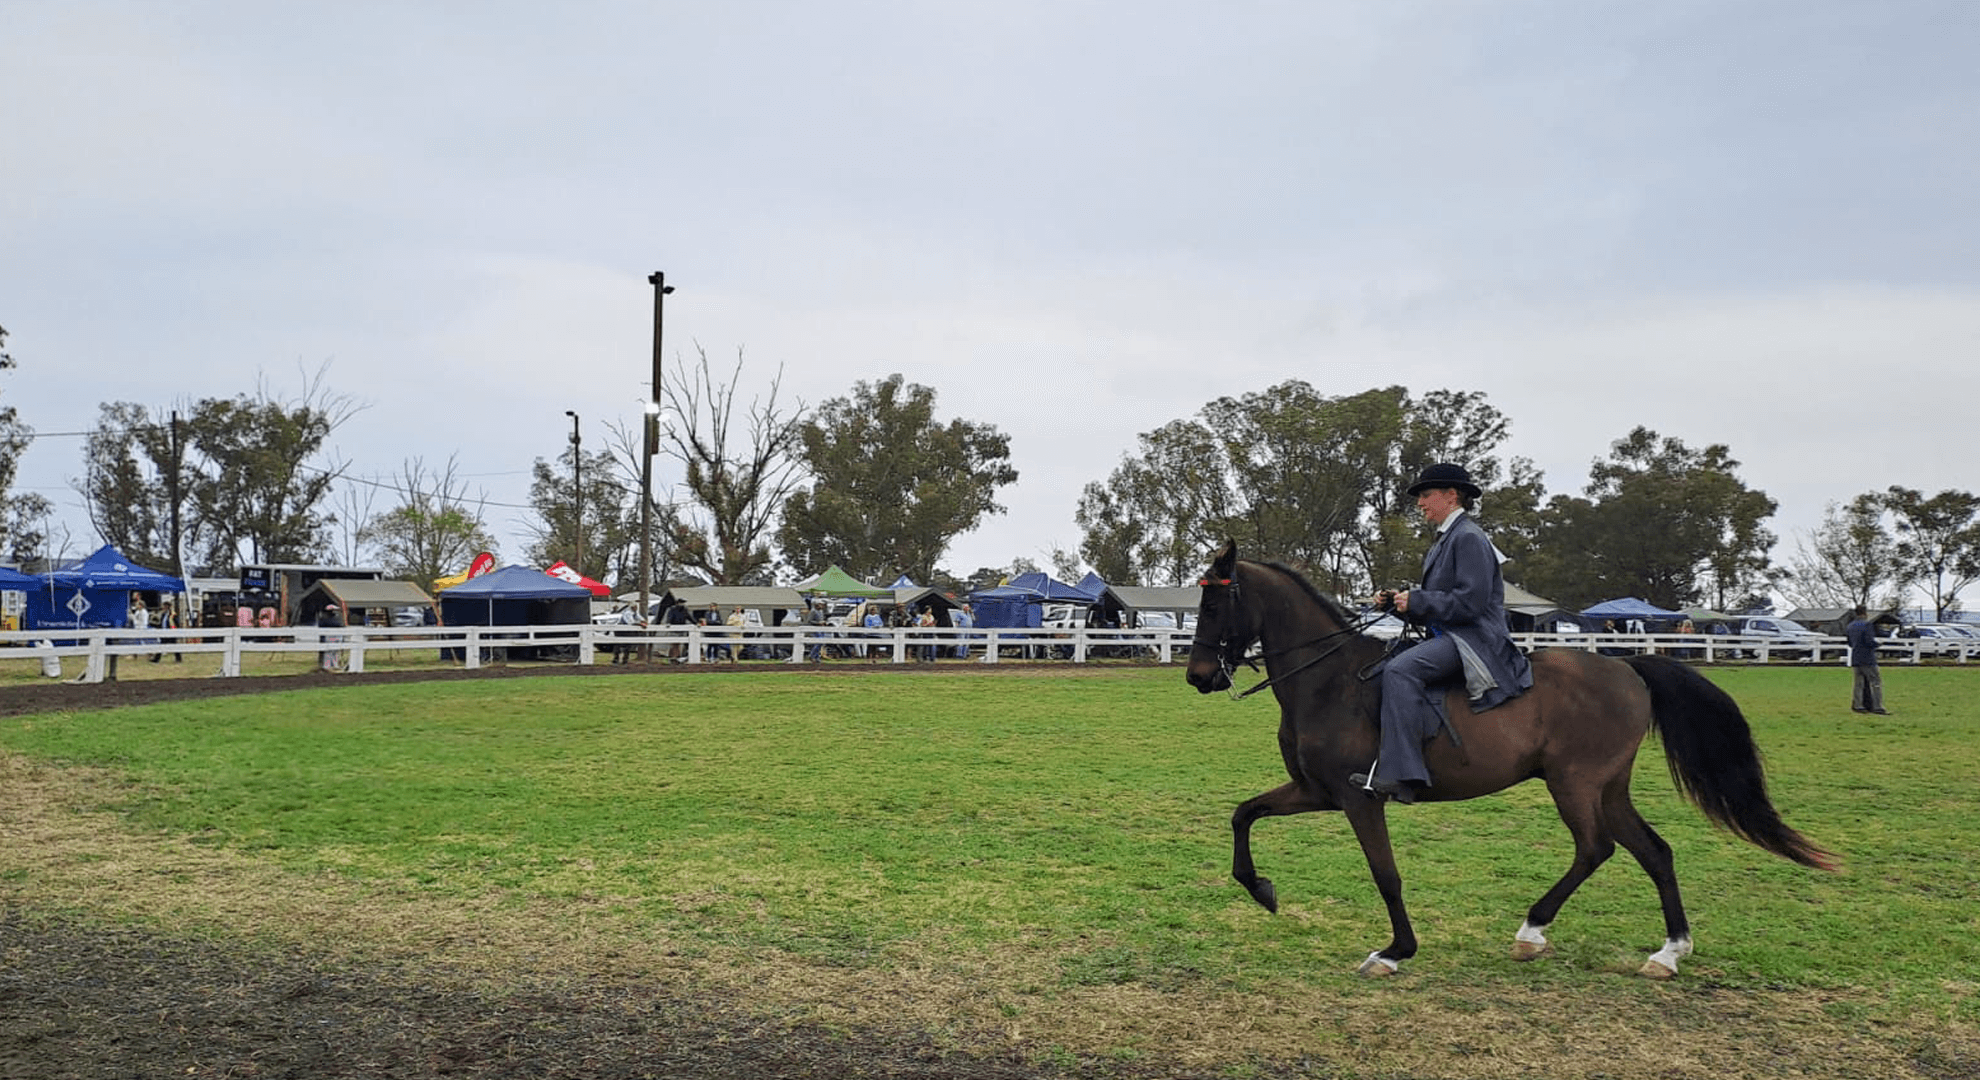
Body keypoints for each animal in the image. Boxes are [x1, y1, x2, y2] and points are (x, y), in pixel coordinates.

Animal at [1184, 540, 1836, 978]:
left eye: (1214, 608)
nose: (1197, 677)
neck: (1331, 681)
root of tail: (1626, 667)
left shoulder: (1359, 797)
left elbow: (1386, 874)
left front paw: (1395, 952)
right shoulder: (1316, 792)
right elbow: (1243, 814)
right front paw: (1261, 889)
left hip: (1574, 784)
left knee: (1595, 848)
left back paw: (1533, 930)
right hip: (1607, 787)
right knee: (1652, 851)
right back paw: (1669, 952)